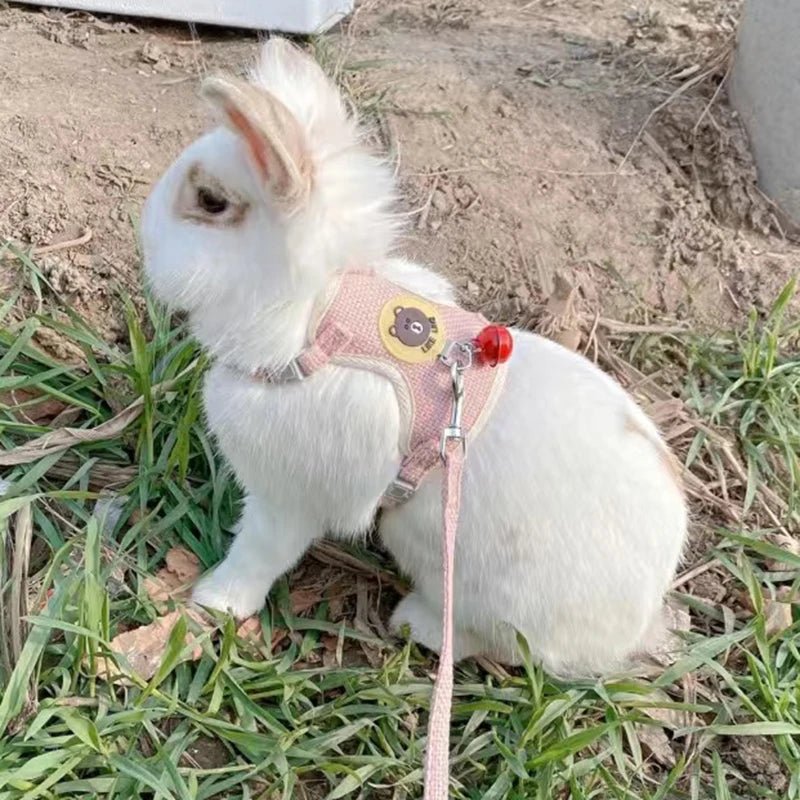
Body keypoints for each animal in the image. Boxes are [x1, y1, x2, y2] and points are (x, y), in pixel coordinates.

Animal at [140, 38, 687, 678]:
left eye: (210, 201)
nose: (144, 233)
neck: (318, 318)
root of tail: (637, 622)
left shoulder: (289, 497)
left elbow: (259, 553)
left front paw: (215, 601)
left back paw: (415, 623)